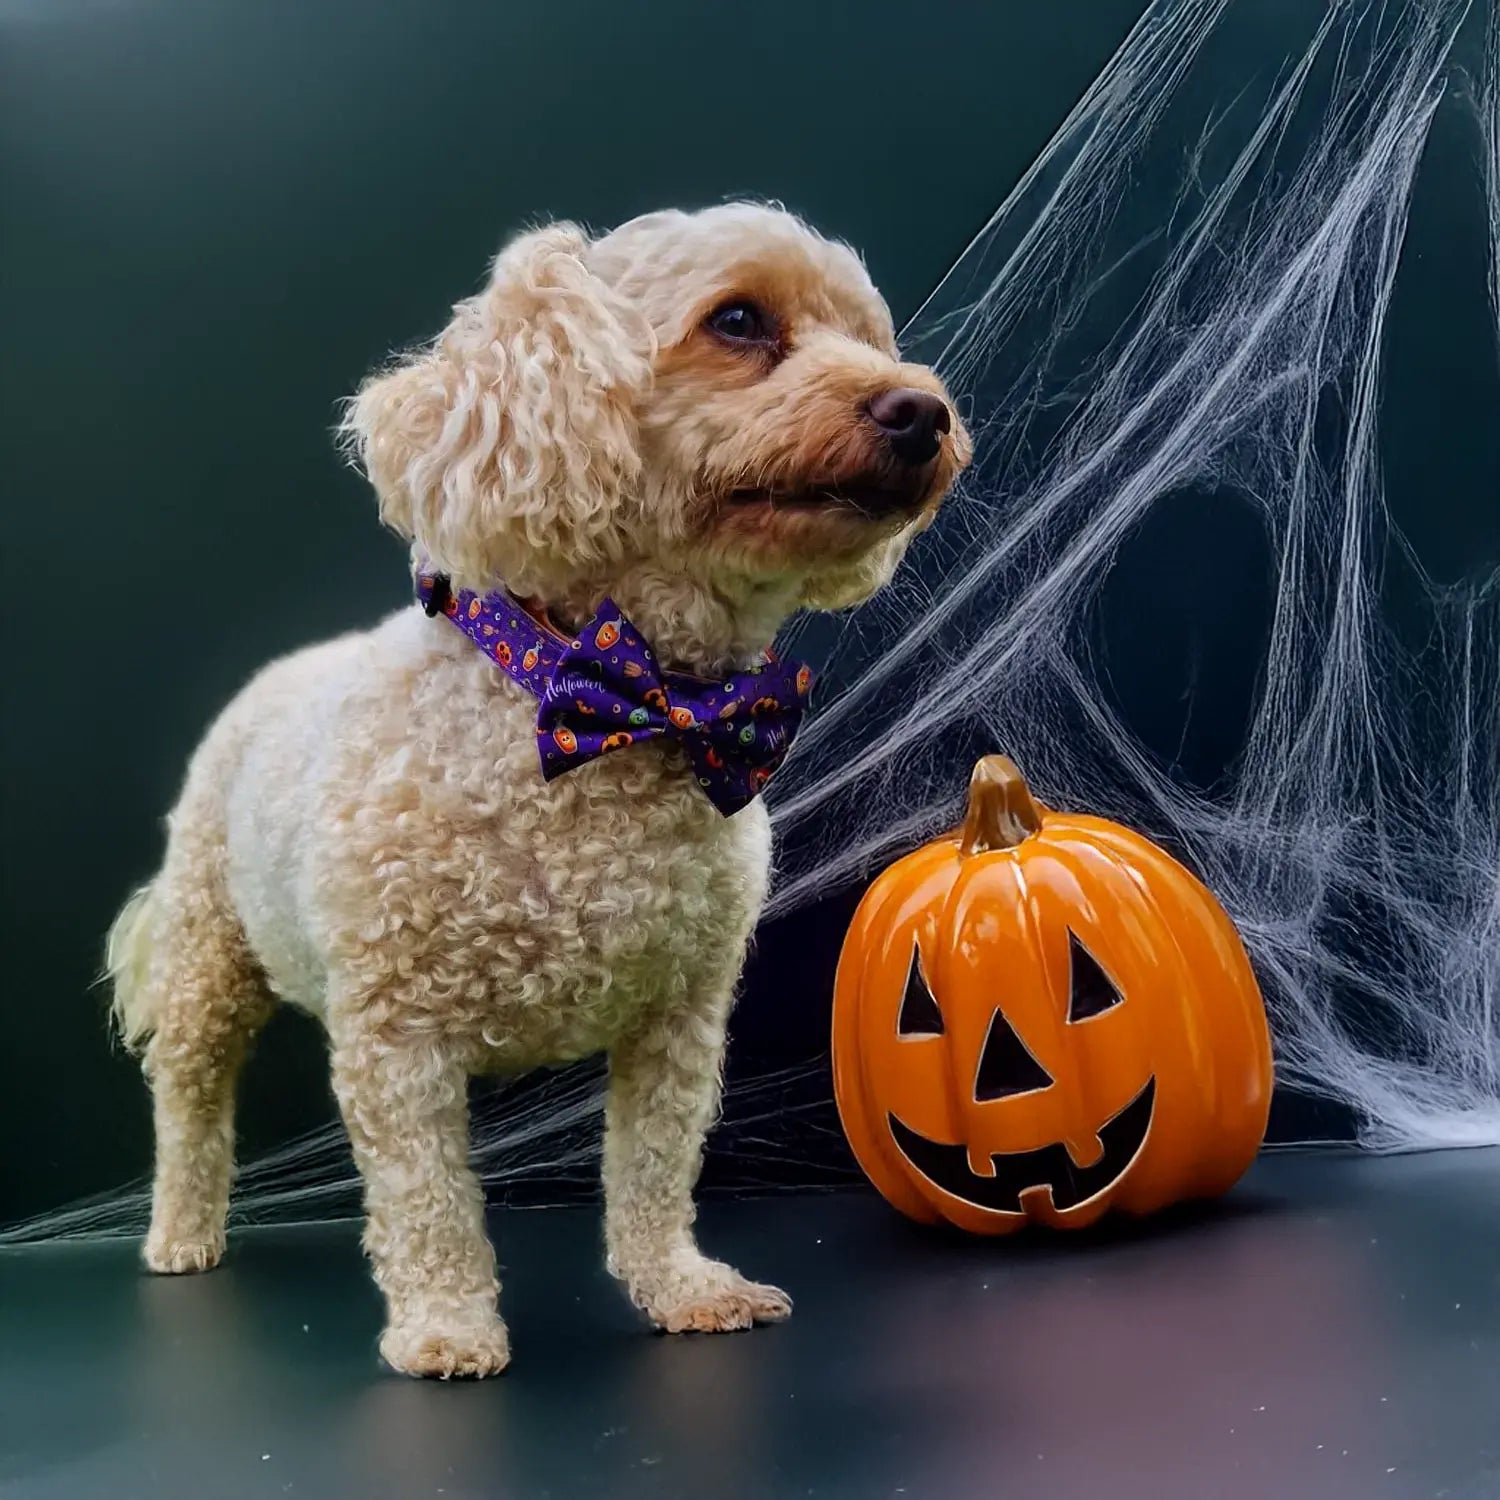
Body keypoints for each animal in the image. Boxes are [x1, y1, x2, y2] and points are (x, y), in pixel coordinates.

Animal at [105, 205, 972, 1374]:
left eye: (871, 337)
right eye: (739, 321)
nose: (922, 409)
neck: (621, 701)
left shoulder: (680, 1015)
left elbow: (654, 1167)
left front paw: (682, 1287)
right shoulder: (396, 1034)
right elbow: (425, 1198)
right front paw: (445, 1327)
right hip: (208, 949)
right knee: (189, 1100)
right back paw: (180, 1235)